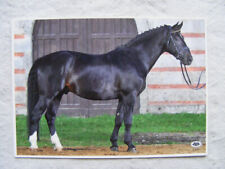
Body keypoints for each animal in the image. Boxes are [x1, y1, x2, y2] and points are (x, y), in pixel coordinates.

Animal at [27, 21, 192, 152]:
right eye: (178, 38)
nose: (189, 58)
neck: (133, 59)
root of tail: (41, 60)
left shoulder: (122, 98)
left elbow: (118, 119)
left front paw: (114, 145)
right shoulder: (130, 96)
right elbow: (128, 120)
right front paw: (130, 145)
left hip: (58, 95)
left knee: (50, 116)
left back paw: (58, 146)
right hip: (47, 95)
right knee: (36, 115)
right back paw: (34, 146)